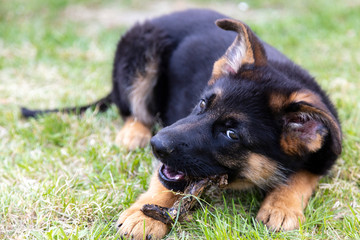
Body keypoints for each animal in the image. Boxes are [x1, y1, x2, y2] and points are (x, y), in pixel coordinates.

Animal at [21, 8, 342, 238]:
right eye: (201, 104)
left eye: (231, 133)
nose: (156, 145)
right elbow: (166, 182)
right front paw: (143, 216)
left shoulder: (326, 153)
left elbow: (303, 175)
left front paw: (282, 205)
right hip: (142, 48)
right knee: (135, 111)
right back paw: (133, 134)